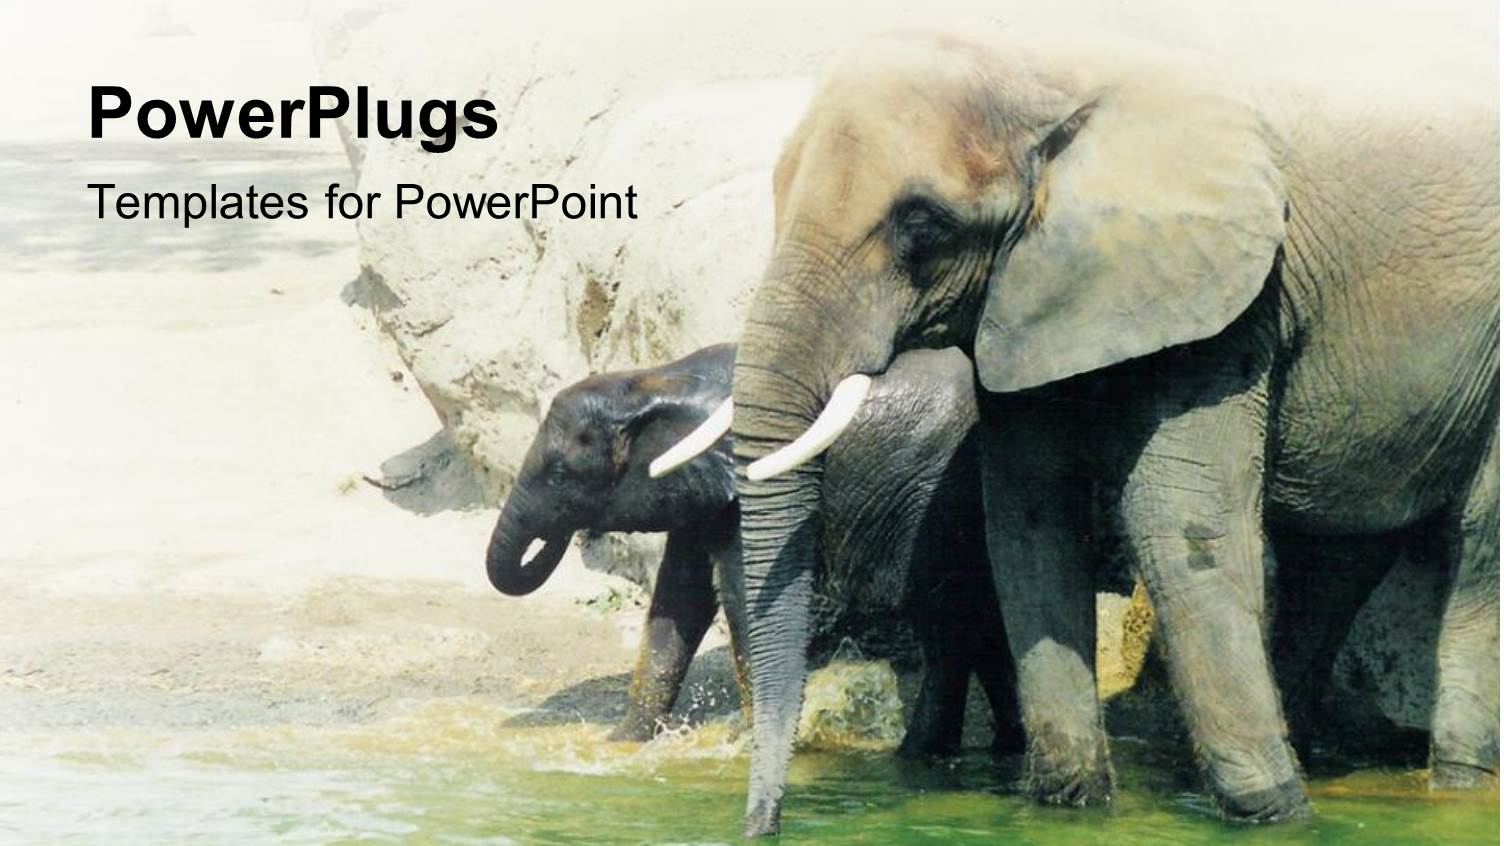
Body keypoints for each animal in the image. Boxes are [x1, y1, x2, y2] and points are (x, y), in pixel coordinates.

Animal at [484, 343, 1023, 755]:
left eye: (559, 475)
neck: (657, 378)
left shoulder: (753, 488)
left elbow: (743, 599)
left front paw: (750, 747)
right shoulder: (703, 494)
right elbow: (679, 603)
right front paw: (623, 745)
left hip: (937, 498)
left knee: (948, 630)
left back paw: (914, 760)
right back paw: (1004, 753)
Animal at [650, 30, 1498, 835]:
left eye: (922, 223)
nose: (763, 827)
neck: (1044, 72)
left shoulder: (1227, 300)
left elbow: (1178, 524)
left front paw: (1275, 816)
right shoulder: (1030, 294)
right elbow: (1027, 524)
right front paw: (1070, 804)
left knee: (1478, 548)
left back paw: (1454, 786)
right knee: (1337, 562)